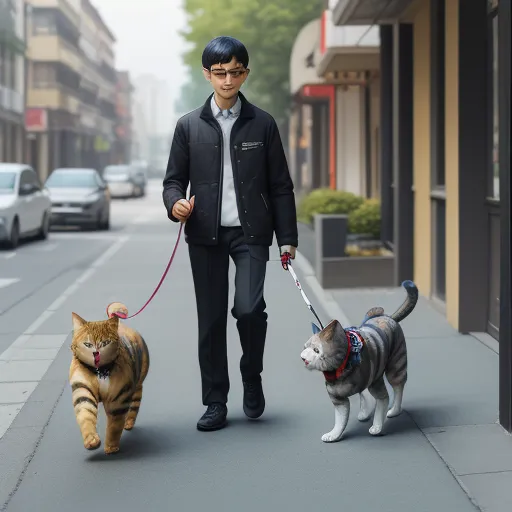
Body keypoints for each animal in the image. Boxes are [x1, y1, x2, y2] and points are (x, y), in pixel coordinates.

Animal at [68, 302, 149, 454]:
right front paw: (91, 440)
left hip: (137, 384)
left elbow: (114, 426)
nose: (96, 353)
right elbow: (86, 416)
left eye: (105, 343)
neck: (99, 371)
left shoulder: (118, 399)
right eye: (87, 344)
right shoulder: (83, 390)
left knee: (135, 404)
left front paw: (111, 447)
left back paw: (129, 423)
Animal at [300, 282, 416, 442]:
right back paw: (365, 412)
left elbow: (383, 402)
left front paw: (377, 427)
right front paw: (334, 435)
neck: (339, 369)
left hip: (395, 365)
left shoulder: (376, 385)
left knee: (398, 387)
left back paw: (395, 411)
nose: (303, 357)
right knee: (365, 392)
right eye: (305, 347)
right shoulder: (338, 400)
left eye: (316, 350)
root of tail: (387, 317)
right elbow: (340, 421)